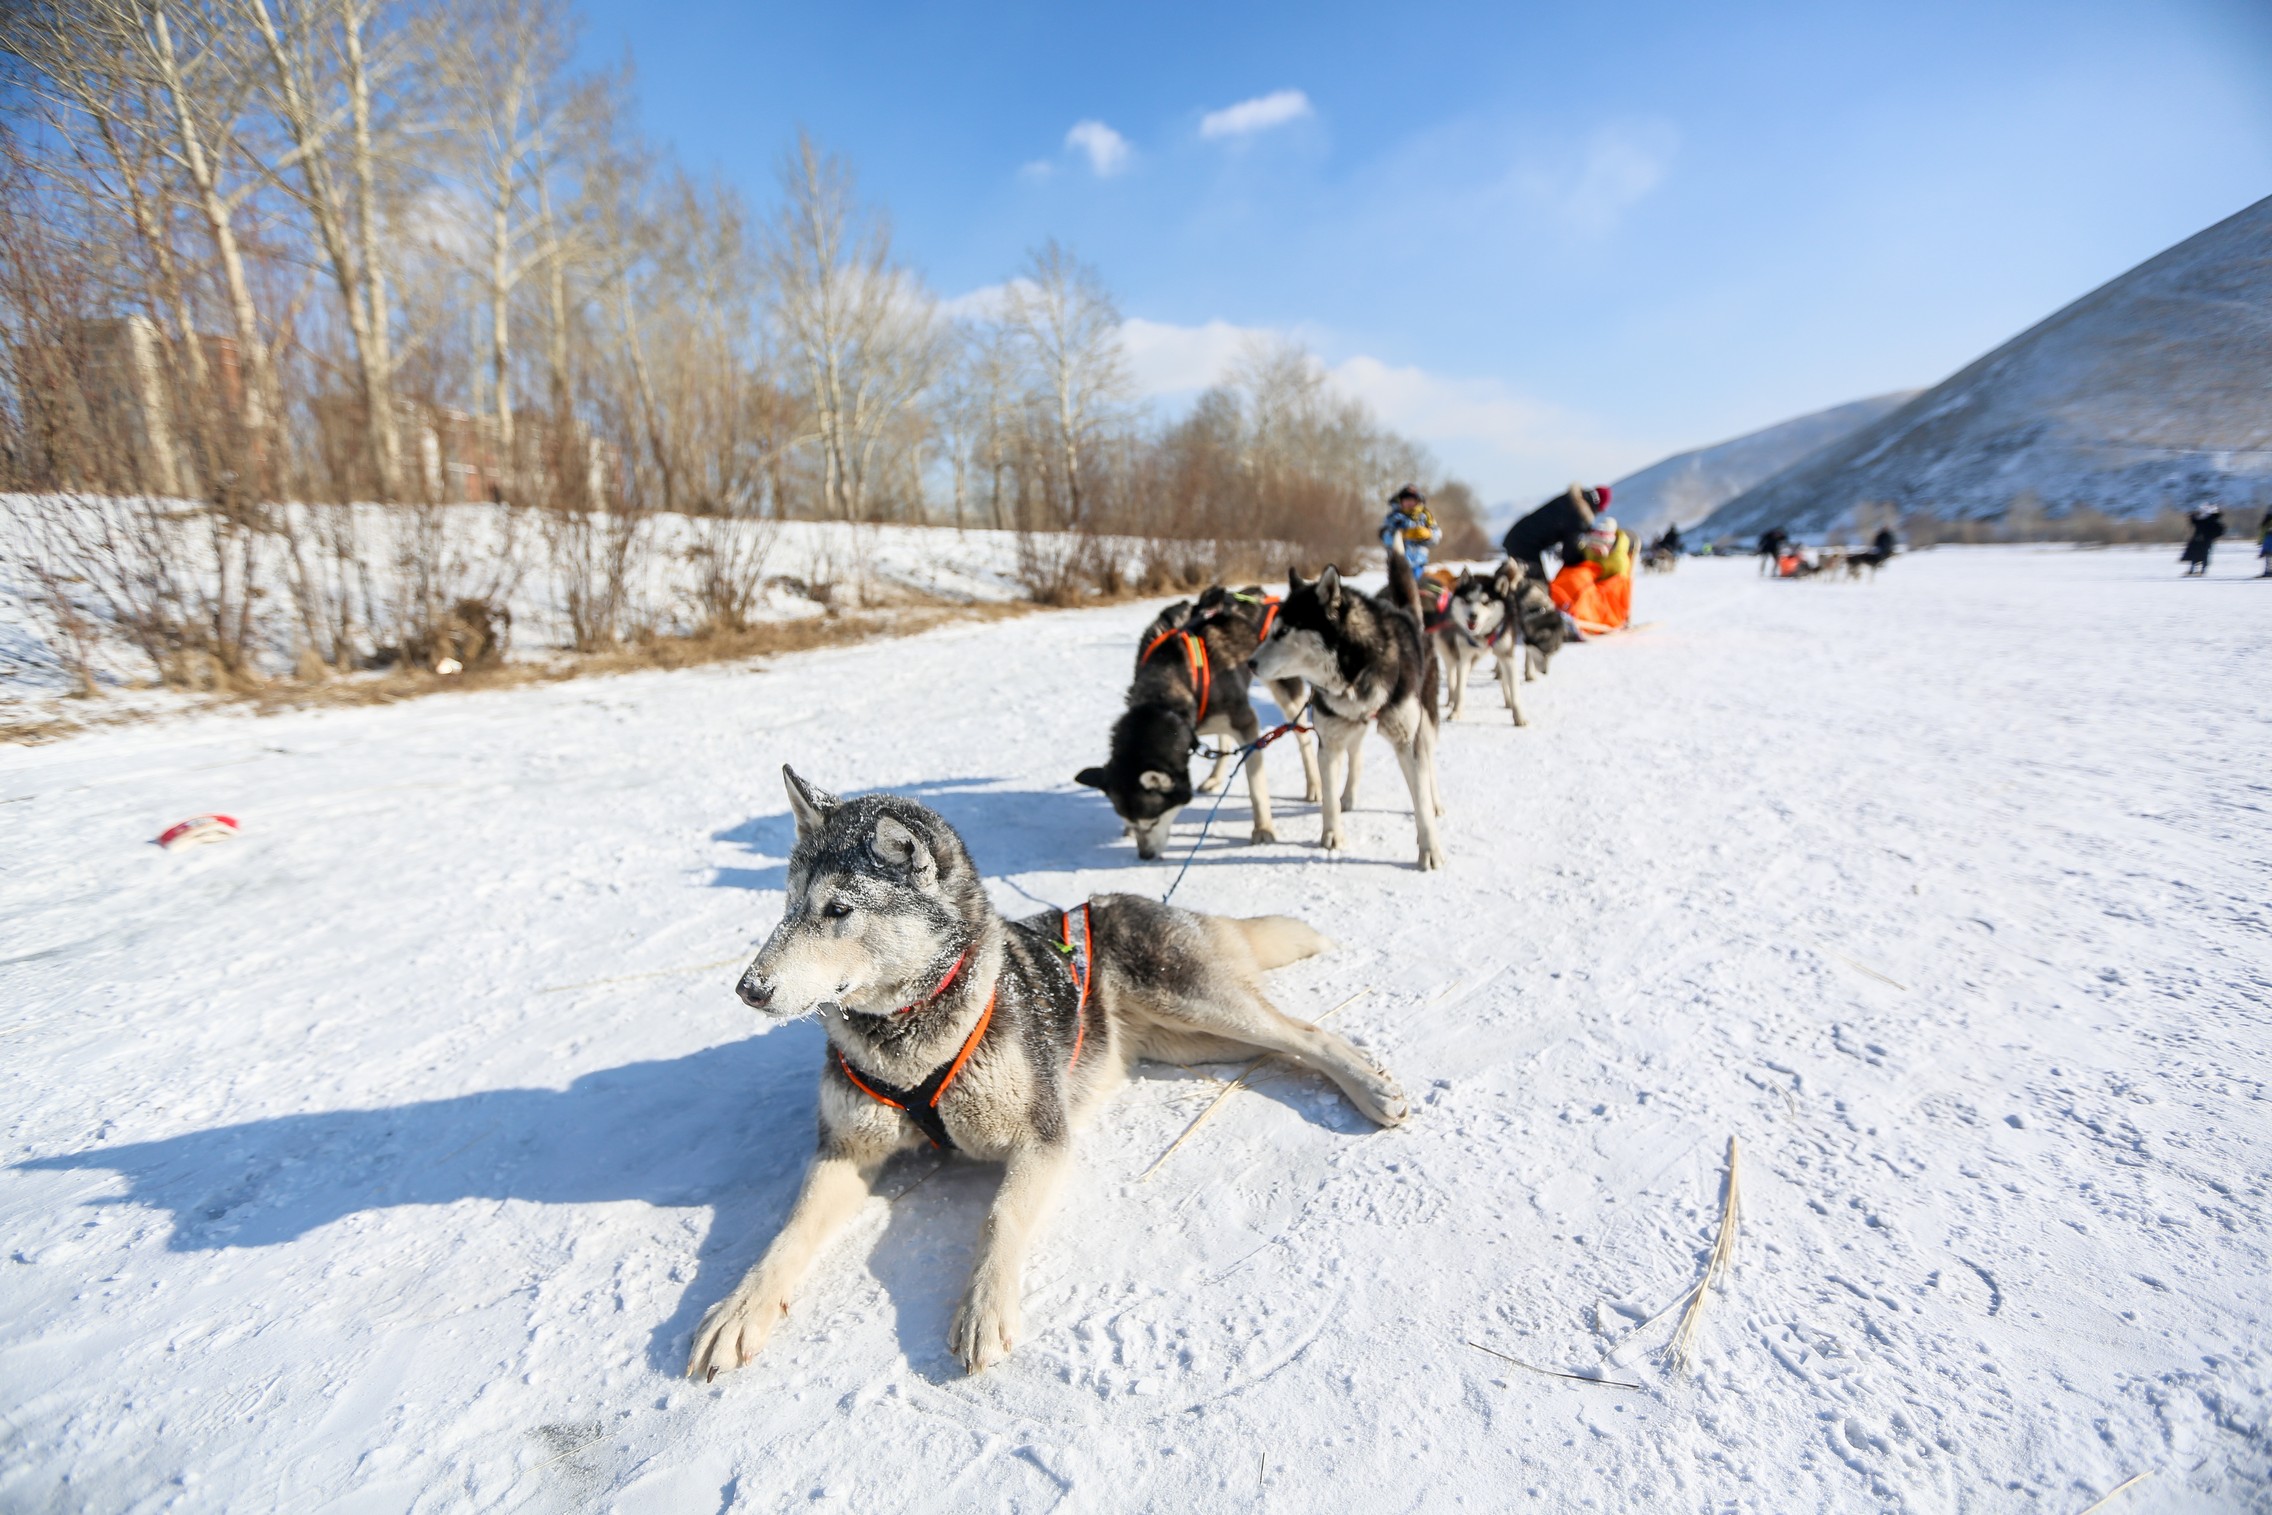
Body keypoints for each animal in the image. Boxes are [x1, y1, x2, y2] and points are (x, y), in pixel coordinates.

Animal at [686, 772, 1399, 1390]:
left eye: (838, 909)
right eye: (788, 906)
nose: (748, 988)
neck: (912, 1041)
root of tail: (1125, 901)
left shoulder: (1042, 1136)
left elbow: (999, 1215)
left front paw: (983, 1308)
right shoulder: (845, 1150)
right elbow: (788, 1233)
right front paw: (741, 1307)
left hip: (1198, 1006)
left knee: (1307, 1034)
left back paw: (1372, 1086)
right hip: (1192, 1040)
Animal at [1081, 595, 1317, 863]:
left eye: (1153, 821)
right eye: (1130, 820)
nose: (1145, 856)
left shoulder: (1246, 723)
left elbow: (1256, 785)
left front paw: (1263, 828)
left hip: (1285, 691)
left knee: (1302, 736)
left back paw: (1314, 786)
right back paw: (1214, 777)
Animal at [1254, 551, 1444, 872]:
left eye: (1283, 631)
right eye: (1270, 630)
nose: (1250, 663)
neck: (1354, 673)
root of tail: (1410, 614)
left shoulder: (1408, 742)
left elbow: (1420, 801)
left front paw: (1429, 849)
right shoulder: (1329, 743)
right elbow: (1329, 797)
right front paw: (1332, 836)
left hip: (1426, 723)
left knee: (1429, 762)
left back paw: (1436, 801)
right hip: (1350, 730)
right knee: (1356, 756)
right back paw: (1349, 796)